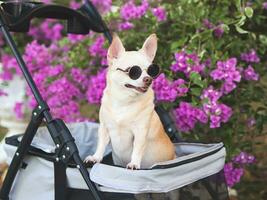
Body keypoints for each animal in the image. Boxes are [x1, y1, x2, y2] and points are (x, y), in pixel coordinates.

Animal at [84, 33, 176, 170]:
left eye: (151, 71)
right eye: (133, 71)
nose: (148, 79)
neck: (124, 101)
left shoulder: (140, 132)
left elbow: (137, 149)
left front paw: (134, 163)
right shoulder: (104, 128)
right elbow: (101, 144)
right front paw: (95, 158)